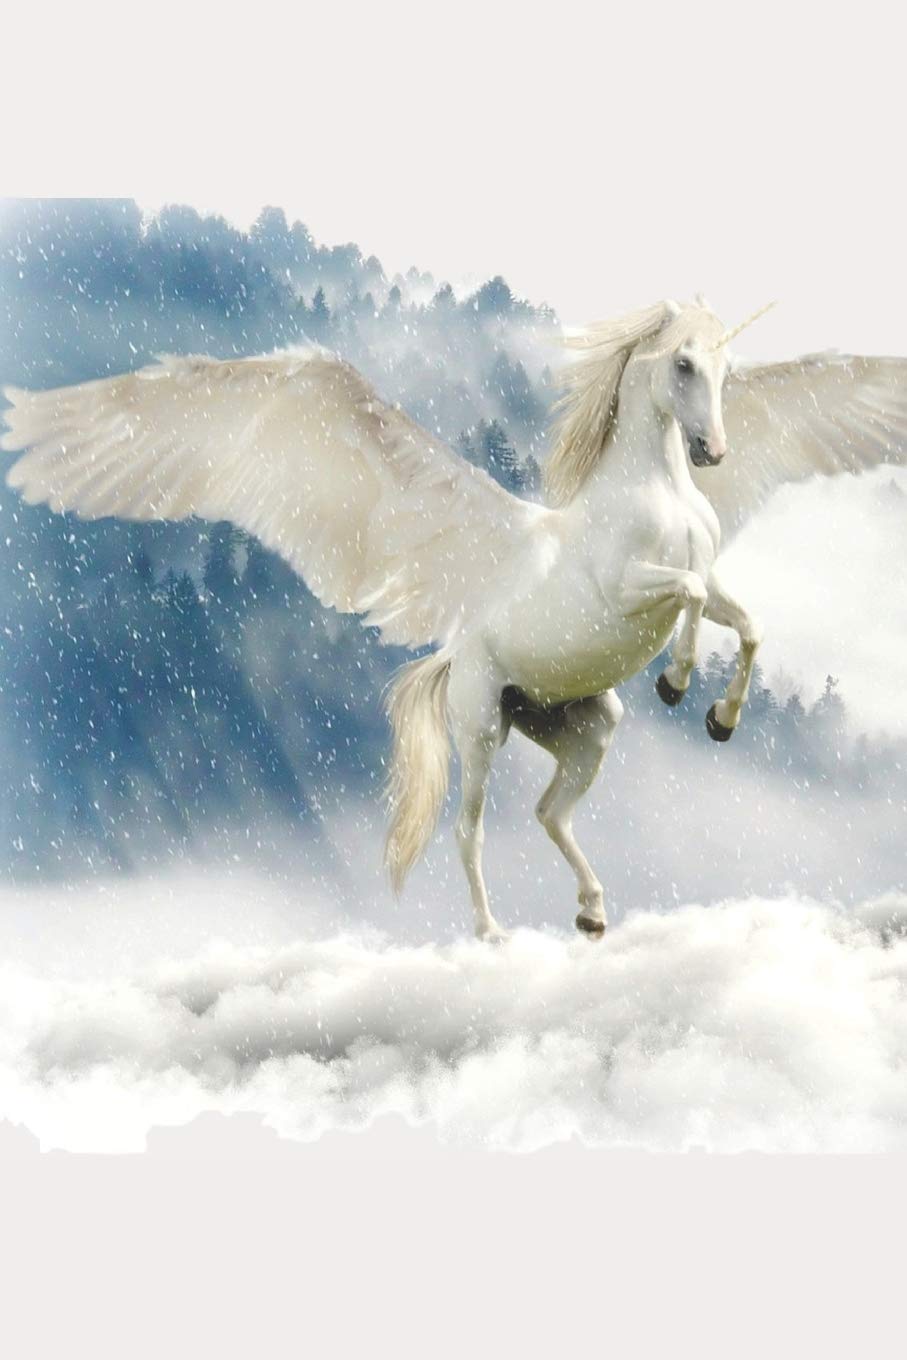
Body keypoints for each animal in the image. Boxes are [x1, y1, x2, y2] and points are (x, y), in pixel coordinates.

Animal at [5, 298, 907, 941]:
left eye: (727, 369)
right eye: (682, 364)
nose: (713, 452)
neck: (649, 492)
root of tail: (457, 656)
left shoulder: (706, 581)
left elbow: (743, 619)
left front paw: (718, 716)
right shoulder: (628, 588)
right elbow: (686, 593)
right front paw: (681, 683)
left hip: (581, 726)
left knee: (548, 813)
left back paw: (591, 911)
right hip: (478, 726)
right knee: (469, 833)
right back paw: (492, 934)